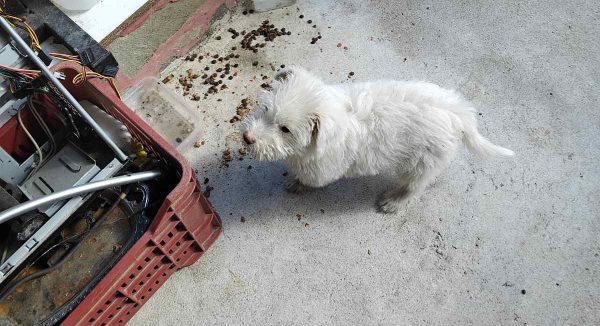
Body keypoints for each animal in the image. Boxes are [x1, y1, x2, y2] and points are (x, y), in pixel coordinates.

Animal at [241, 67, 512, 213]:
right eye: (265, 110)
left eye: (285, 129)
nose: (247, 138)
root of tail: (458, 112)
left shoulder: (321, 168)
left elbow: (309, 179)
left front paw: (297, 184)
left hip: (419, 162)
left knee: (414, 188)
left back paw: (394, 202)